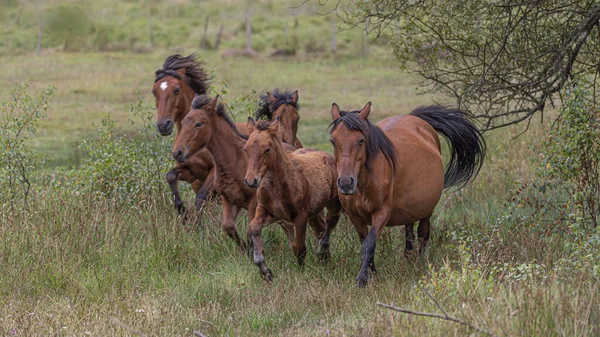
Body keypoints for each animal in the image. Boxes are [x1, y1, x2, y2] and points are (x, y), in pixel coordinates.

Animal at [171, 94, 326, 247]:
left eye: (198, 123)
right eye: (183, 122)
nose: (178, 152)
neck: (235, 161)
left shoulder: (253, 204)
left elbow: (249, 232)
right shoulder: (229, 201)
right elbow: (229, 227)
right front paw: (245, 249)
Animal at [241, 117, 340, 280]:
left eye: (267, 149)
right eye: (246, 149)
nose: (251, 181)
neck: (276, 187)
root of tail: (328, 156)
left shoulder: (300, 216)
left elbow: (298, 247)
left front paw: (301, 272)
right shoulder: (268, 212)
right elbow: (254, 226)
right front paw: (265, 271)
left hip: (333, 203)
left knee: (330, 222)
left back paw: (322, 252)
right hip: (313, 213)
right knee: (320, 228)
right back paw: (324, 259)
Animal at [330, 101, 486, 286]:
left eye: (361, 140)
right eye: (333, 141)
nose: (346, 183)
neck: (365, 184)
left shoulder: (382, 212)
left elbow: (369, 243)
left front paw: (362, 279)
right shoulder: (354, 216)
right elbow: (365, 240)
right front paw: (371, 272)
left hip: (427, 209)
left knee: (423, 234)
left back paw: (420, 262)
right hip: (409, 207)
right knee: (409, 231)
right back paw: (408, 257)